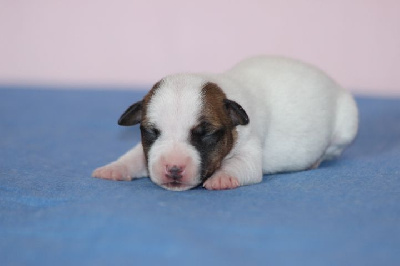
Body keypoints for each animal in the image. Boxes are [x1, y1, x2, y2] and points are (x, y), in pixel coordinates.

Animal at [93, 55, 360, 191]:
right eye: (151, 131)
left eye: (206, 134)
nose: (173, 168)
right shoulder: (148, 150)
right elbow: (136, 156)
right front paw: (115, 168)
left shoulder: (250, 147)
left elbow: (242, 165)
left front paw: (222, 177)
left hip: (346, 125)